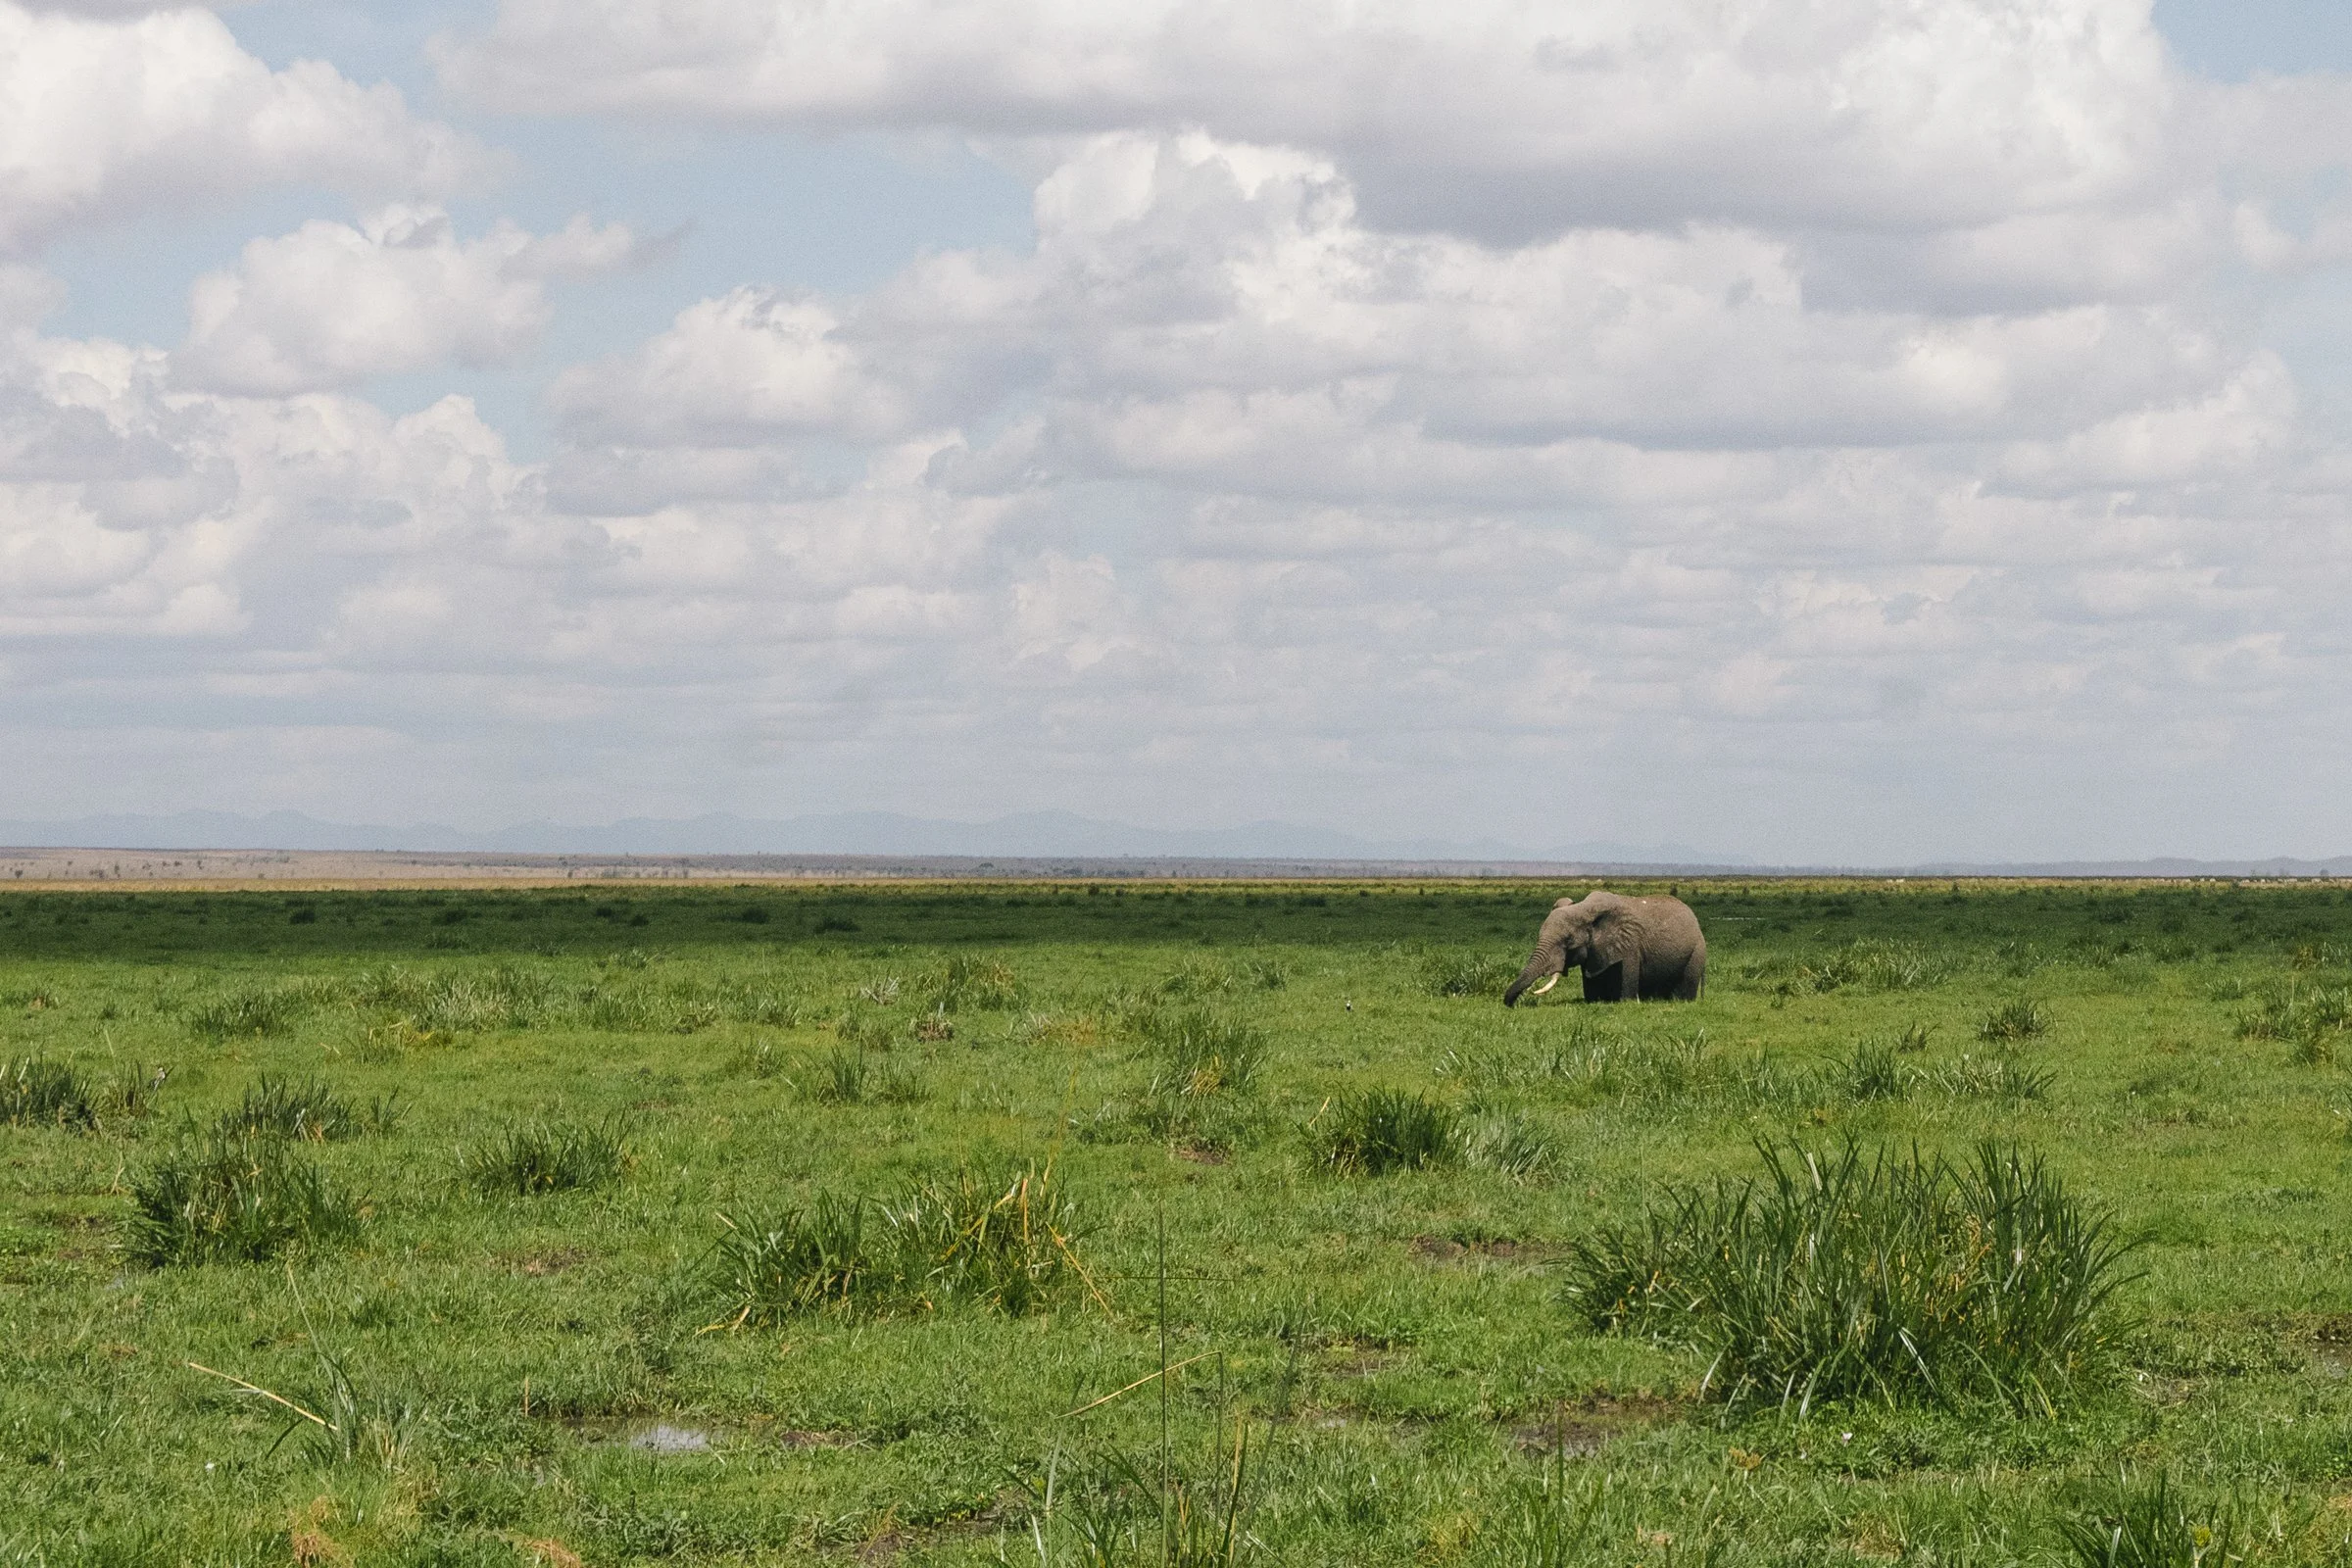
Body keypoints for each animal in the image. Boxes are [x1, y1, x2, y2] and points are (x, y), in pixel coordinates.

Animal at [1501, 890, 1706, 1005]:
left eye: (1568, 942)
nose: (1510, 1004)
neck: (1585, 909)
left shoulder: (1629, 944)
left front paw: (1626, 1003)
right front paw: (1596, 1001)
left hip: (1697, 951)